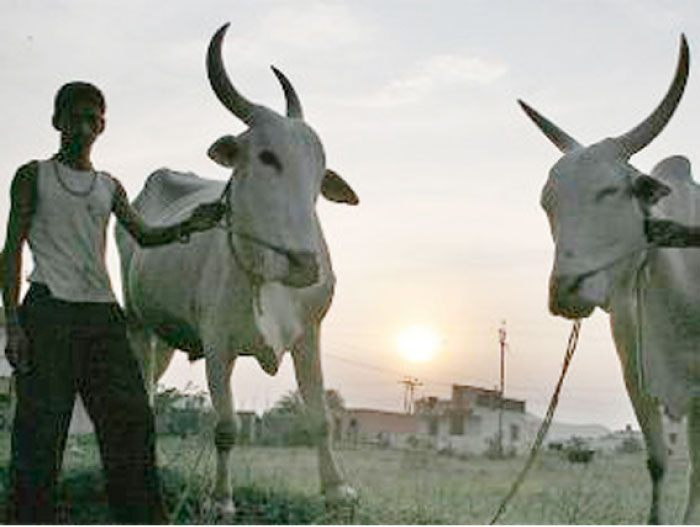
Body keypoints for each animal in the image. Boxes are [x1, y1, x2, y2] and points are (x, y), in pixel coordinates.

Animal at [115, 22, 358, 516]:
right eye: (266, 157)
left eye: (319, 170)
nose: (306, 264)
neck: (267, 276)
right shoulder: (217, 343)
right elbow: (226, 426)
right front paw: (221, 499)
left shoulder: (309, 336)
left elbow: (321, 417)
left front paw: (336, 490)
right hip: (136, 323)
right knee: (144, 395)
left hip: (164, 336)